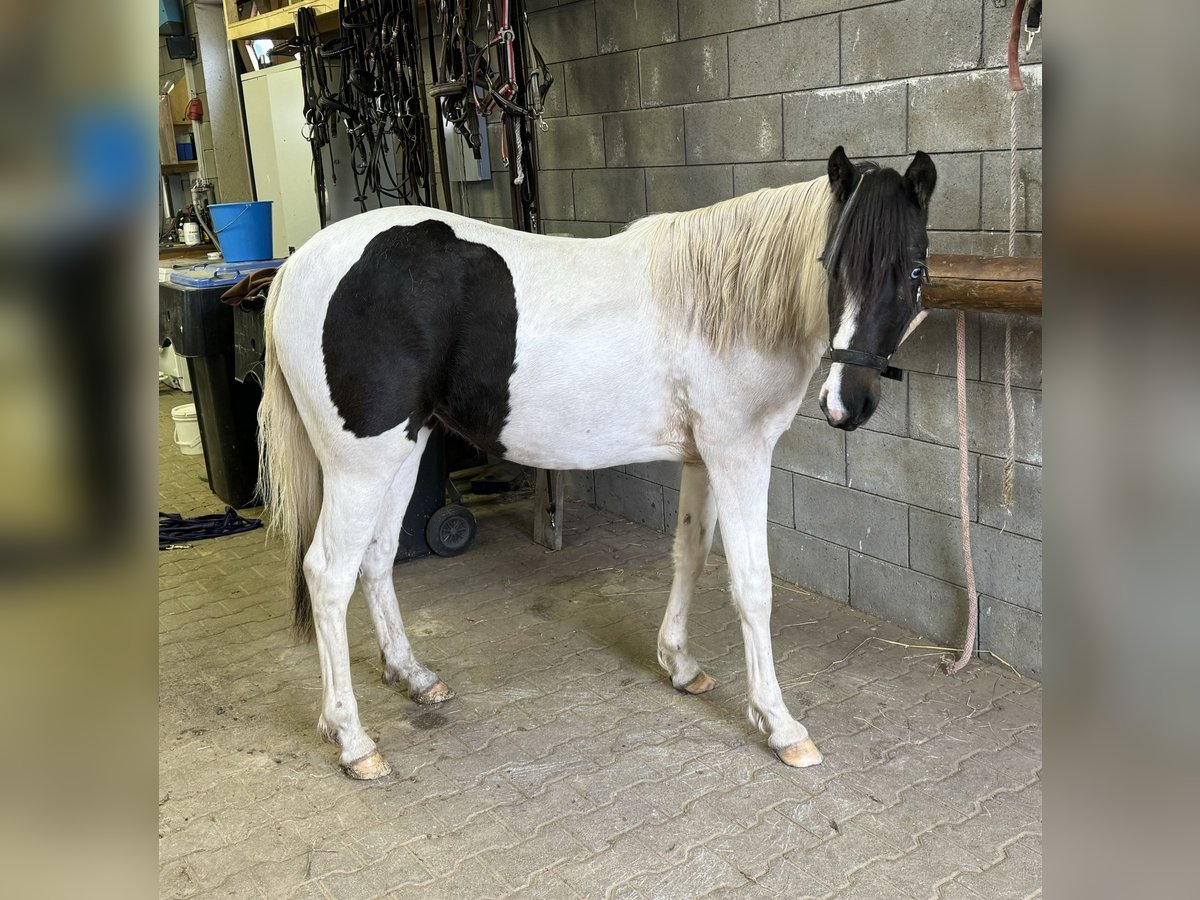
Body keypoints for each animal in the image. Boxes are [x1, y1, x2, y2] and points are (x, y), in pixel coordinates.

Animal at [260, 144, 936, 777]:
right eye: (832, 264)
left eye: (915, 269)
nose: (850, 402)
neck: (728, 303)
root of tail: (296, 268)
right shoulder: (738, 455)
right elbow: (753, 586)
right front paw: (779, 723)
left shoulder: (703, 458)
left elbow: (689, 554)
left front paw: (680, 664)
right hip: (360, 466)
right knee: (329, 574)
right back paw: (353, 740)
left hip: (405, 451)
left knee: (377, 558)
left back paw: (413, 676)